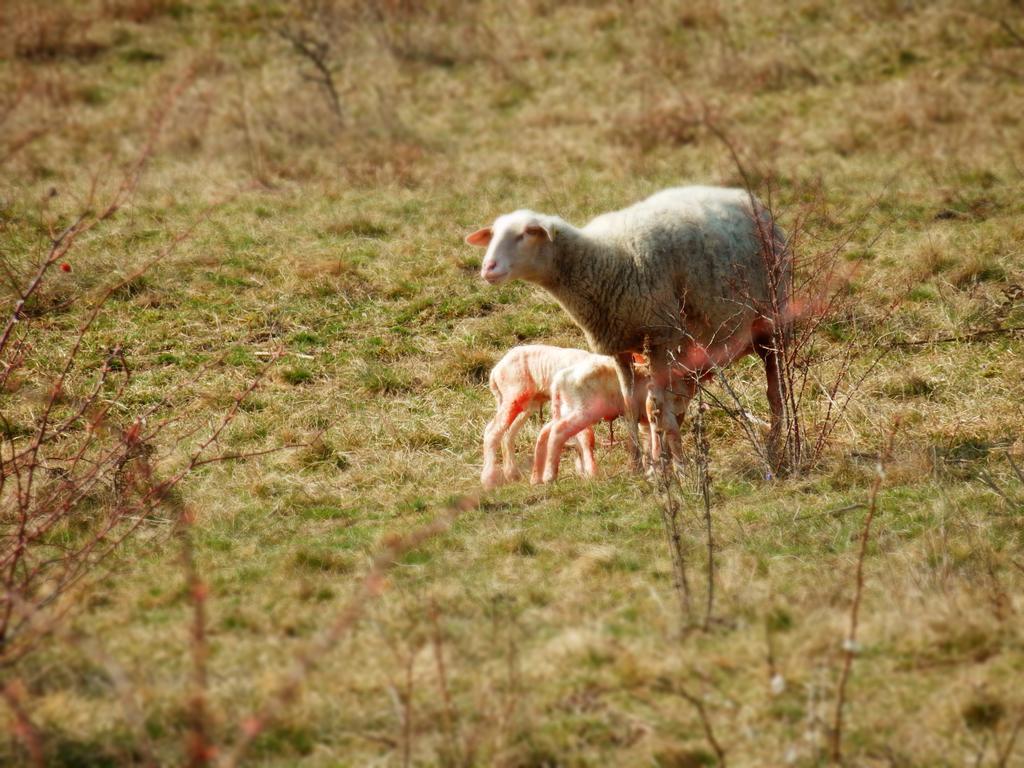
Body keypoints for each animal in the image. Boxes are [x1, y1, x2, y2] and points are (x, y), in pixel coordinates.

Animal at [468, 186, 786, 468]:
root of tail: (744, 195)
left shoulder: (660, 338)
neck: (603, 261)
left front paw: (671, 468)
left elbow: (656, 408)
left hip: (772, 318)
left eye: (525, 234)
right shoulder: (618, 346)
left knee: (775, 388)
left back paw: (775, 445)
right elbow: (632, 406)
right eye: (493, 236)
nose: (488, 268)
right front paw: (640, 467)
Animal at [479, 344, 598, 489]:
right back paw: (489, 480)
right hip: (514, 396)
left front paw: (583, 472)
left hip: (526, 404)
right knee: (492, 431)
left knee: (507, 434)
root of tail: (495, 372)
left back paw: (512, 474)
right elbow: (586, 435)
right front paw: (591, 473)